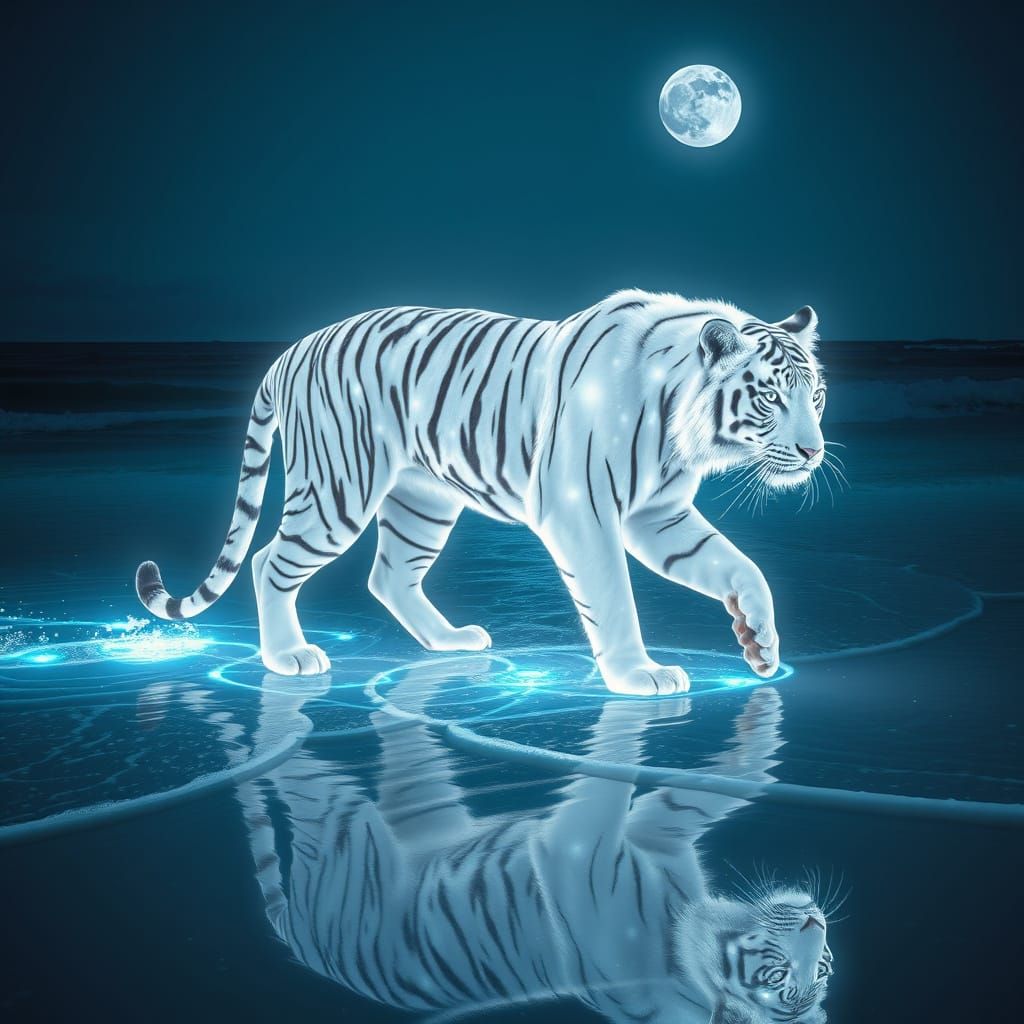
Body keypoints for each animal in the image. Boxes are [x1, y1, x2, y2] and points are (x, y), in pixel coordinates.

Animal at [135, 290, 828, 694]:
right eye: (770, 397)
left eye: (816, 396)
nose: (814, 451)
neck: (678, 425)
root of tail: (290, 352)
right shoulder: (581, 511)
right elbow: (613, 598)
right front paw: (639, 674)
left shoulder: (657, 515)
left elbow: (741, 567)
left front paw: (759, 643)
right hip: (338, 490)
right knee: (265, 562)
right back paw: (289, 657)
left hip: (422, 501)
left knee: (388, 576)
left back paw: (449, 642)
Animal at [233, 660, 836, 1023]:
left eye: (792, 975)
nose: (815, 920)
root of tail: (300, 943)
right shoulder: (653, 838)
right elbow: (723, 783)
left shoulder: (581, 844)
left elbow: (615, 770)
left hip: (343, 827)